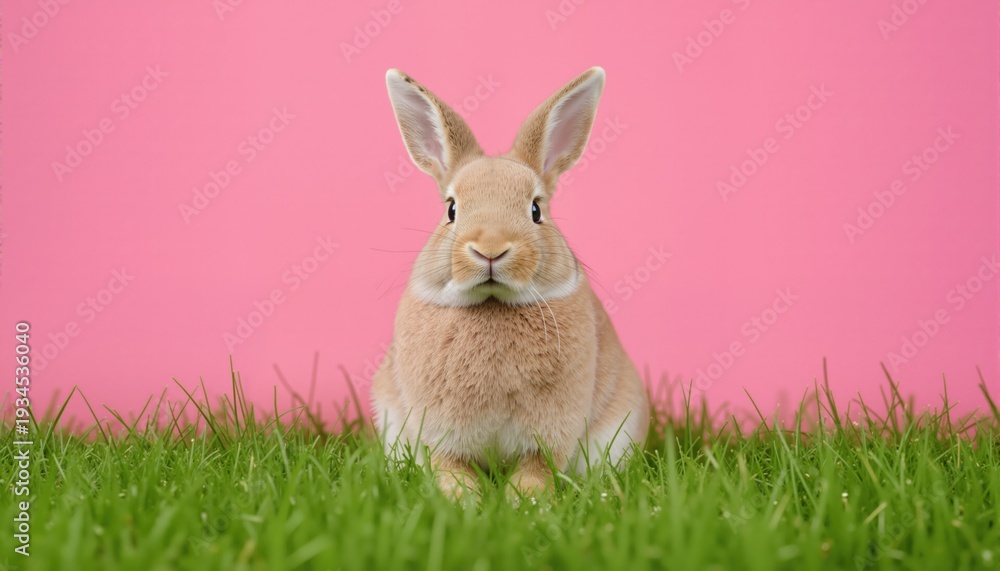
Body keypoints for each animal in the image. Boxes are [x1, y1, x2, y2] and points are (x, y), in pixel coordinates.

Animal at [372, 67, 649, 497]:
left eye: (536, 210)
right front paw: (462, 500)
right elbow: (451, 467)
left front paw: (524, 502)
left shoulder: (551, 435)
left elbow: (537, 471)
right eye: (451, 210)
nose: (490, 249)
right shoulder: (438, 434)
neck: (492, 301)